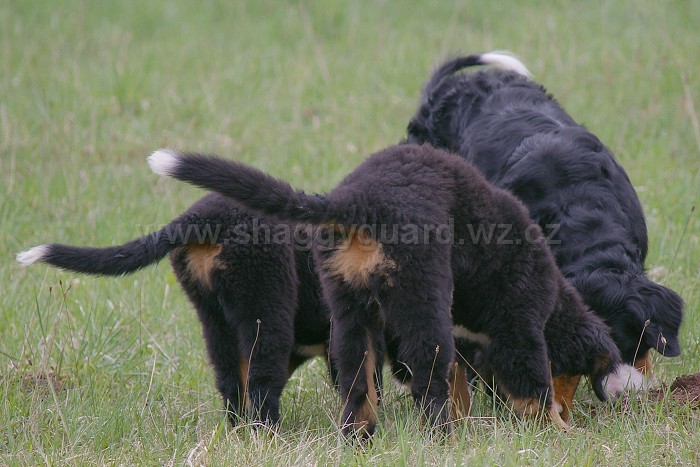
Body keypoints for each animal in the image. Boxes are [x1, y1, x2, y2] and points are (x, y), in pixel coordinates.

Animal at [16, 192, 334, 426]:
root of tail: (202, 216)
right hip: (264, 308)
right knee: (262, 378)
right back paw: (267, 433)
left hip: (214, 318)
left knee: (231, 379)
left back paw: (238, 430)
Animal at [149, 144, 624, 436]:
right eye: (575, 374)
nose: (572, 410)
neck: (553, 299)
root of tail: (359, 201)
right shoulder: (518, 326)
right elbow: (532, 388)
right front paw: (561, 433)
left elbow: (464, 388)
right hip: (413, 299)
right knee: (425, 377)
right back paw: (442, 441)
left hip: (343, 309)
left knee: (352, 383)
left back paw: (358, 440)